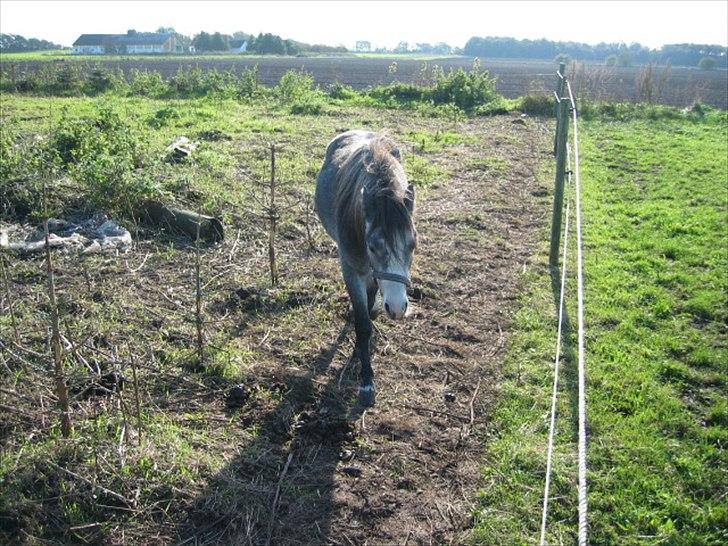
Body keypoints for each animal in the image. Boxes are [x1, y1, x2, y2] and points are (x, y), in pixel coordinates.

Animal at [312, 131, 416, 404]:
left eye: (413, 244)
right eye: (372, 246)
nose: (398, 308)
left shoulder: (374, 274)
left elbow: (367, 312)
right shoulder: (352, 269)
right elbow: (363, 324)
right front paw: (367, 381)